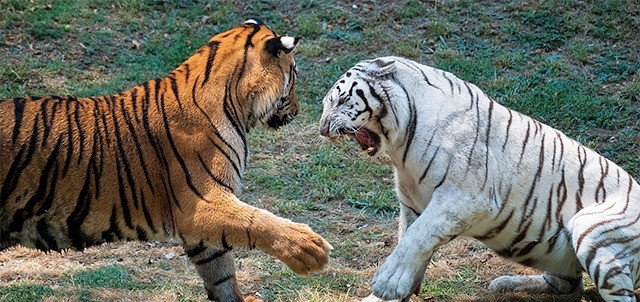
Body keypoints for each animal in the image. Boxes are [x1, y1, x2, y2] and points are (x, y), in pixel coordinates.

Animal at [0, 19, 330, 302]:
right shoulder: (201, 204)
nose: (298, 111)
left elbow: (220, 272)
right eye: (294, 76)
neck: (235, 101)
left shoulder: (201, 223)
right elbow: (256, 220)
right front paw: (308, 249)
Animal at [322, 55, 640, 300]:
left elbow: (415, 238)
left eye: (341, 100)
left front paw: (387, 284)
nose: (323, 129)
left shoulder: (465, 198)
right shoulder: (413, 204)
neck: (401, 145)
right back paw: (506, 283)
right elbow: (410, 240)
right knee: (568, 285)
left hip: (591, 230)